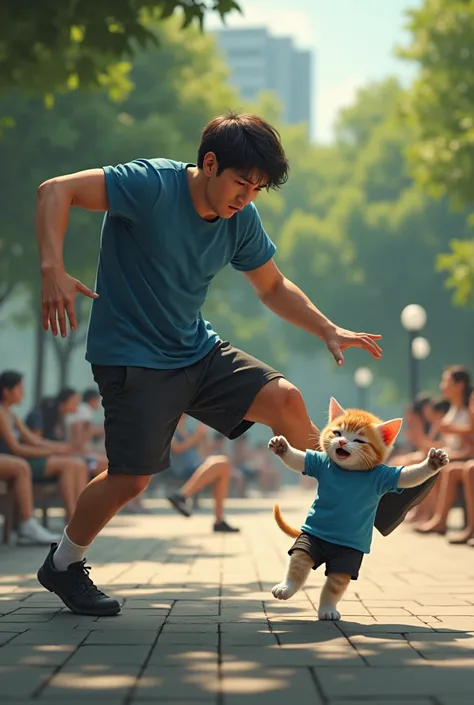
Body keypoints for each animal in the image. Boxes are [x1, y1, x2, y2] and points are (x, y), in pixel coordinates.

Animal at [266, 398, 448, 620]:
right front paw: (282, 447)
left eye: (360, 441)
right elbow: (299, 460)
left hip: (346, 559)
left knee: (335, 582)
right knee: (300, 561)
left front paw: (432, 463)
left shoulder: (383, 477)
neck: (349, 471)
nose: (343, 442)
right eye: (338, 433)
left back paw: (327, 608)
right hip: (309, 542)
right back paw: (287, 588)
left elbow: (408, 476)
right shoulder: (319, 463)